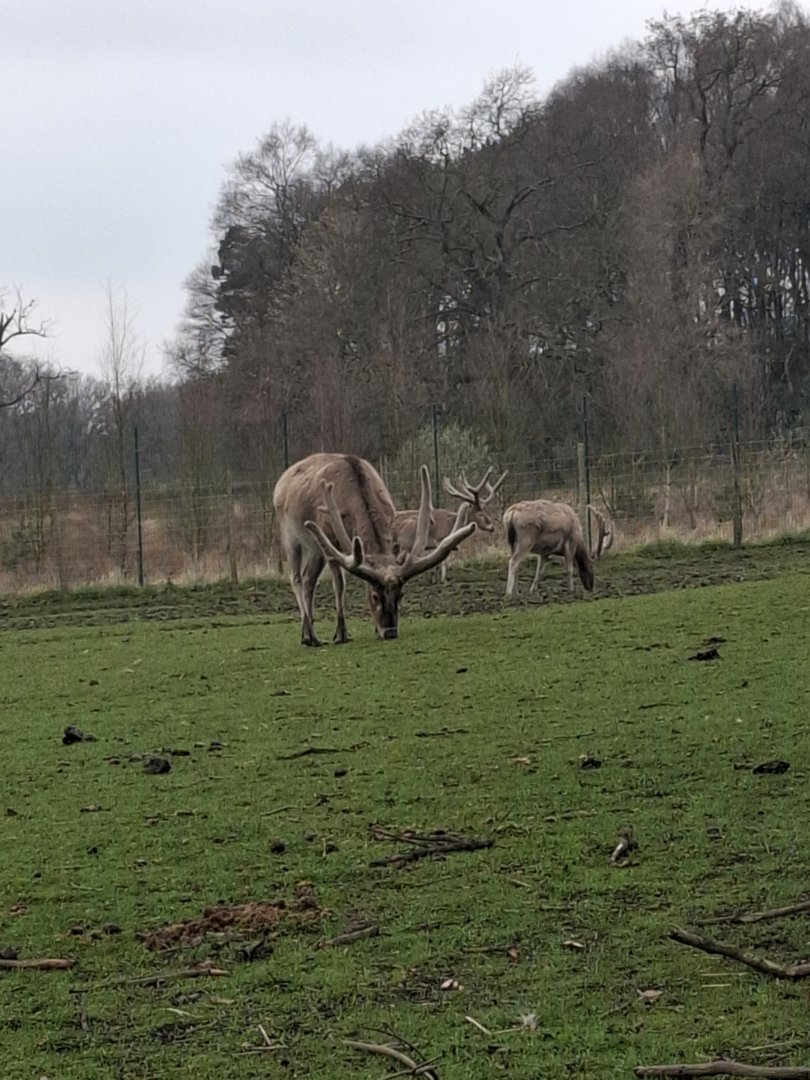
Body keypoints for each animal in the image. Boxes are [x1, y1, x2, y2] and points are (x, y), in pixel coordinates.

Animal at [272, 452, 476, 645]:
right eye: (375, 596)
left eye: (401, 595)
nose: (390, 632)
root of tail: (280, 482)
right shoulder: (329, 536)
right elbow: (339, 584)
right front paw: (341, 633)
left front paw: (374, 629)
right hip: (290, 535)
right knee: (296, 578)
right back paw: (308, 634)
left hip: (315, 548)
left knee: (309, 579)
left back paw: (309, 632)